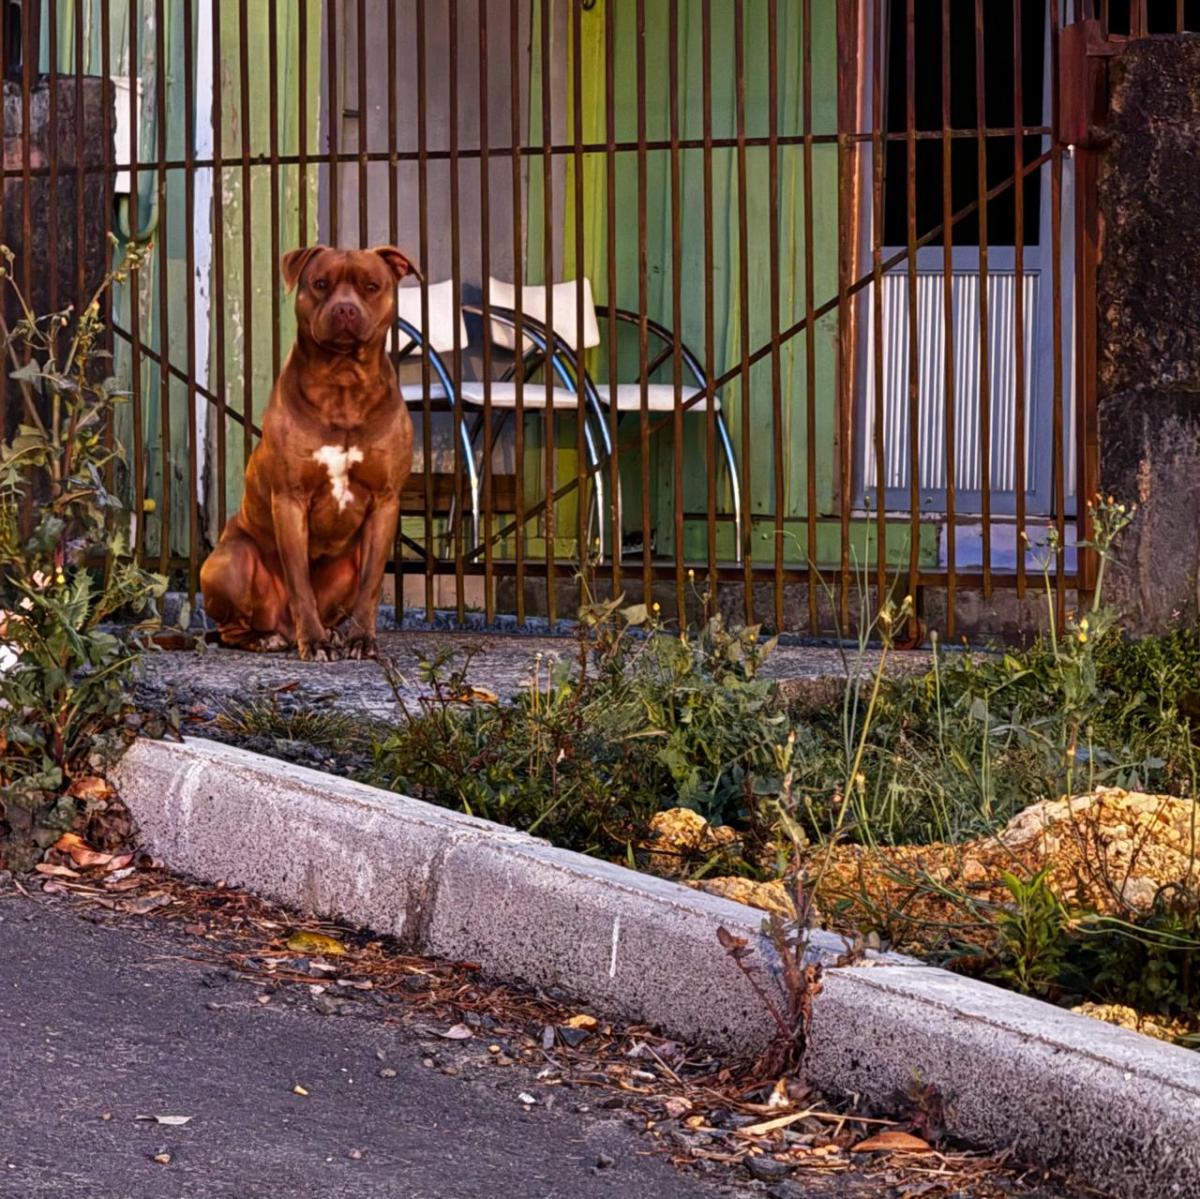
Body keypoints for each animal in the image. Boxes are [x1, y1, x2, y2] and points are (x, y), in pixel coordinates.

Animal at [200, 240, 417, 662]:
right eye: (320, 283)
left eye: (371, 286)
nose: (345, 309)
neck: (343, 384)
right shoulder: (289, 498)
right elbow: (300, 581)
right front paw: (314, 642)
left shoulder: (385, 501)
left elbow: (370, 586)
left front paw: (362, 640)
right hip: (229, 563)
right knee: (230, 628)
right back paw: (266, 638)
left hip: (348, 563)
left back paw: (330, 633)